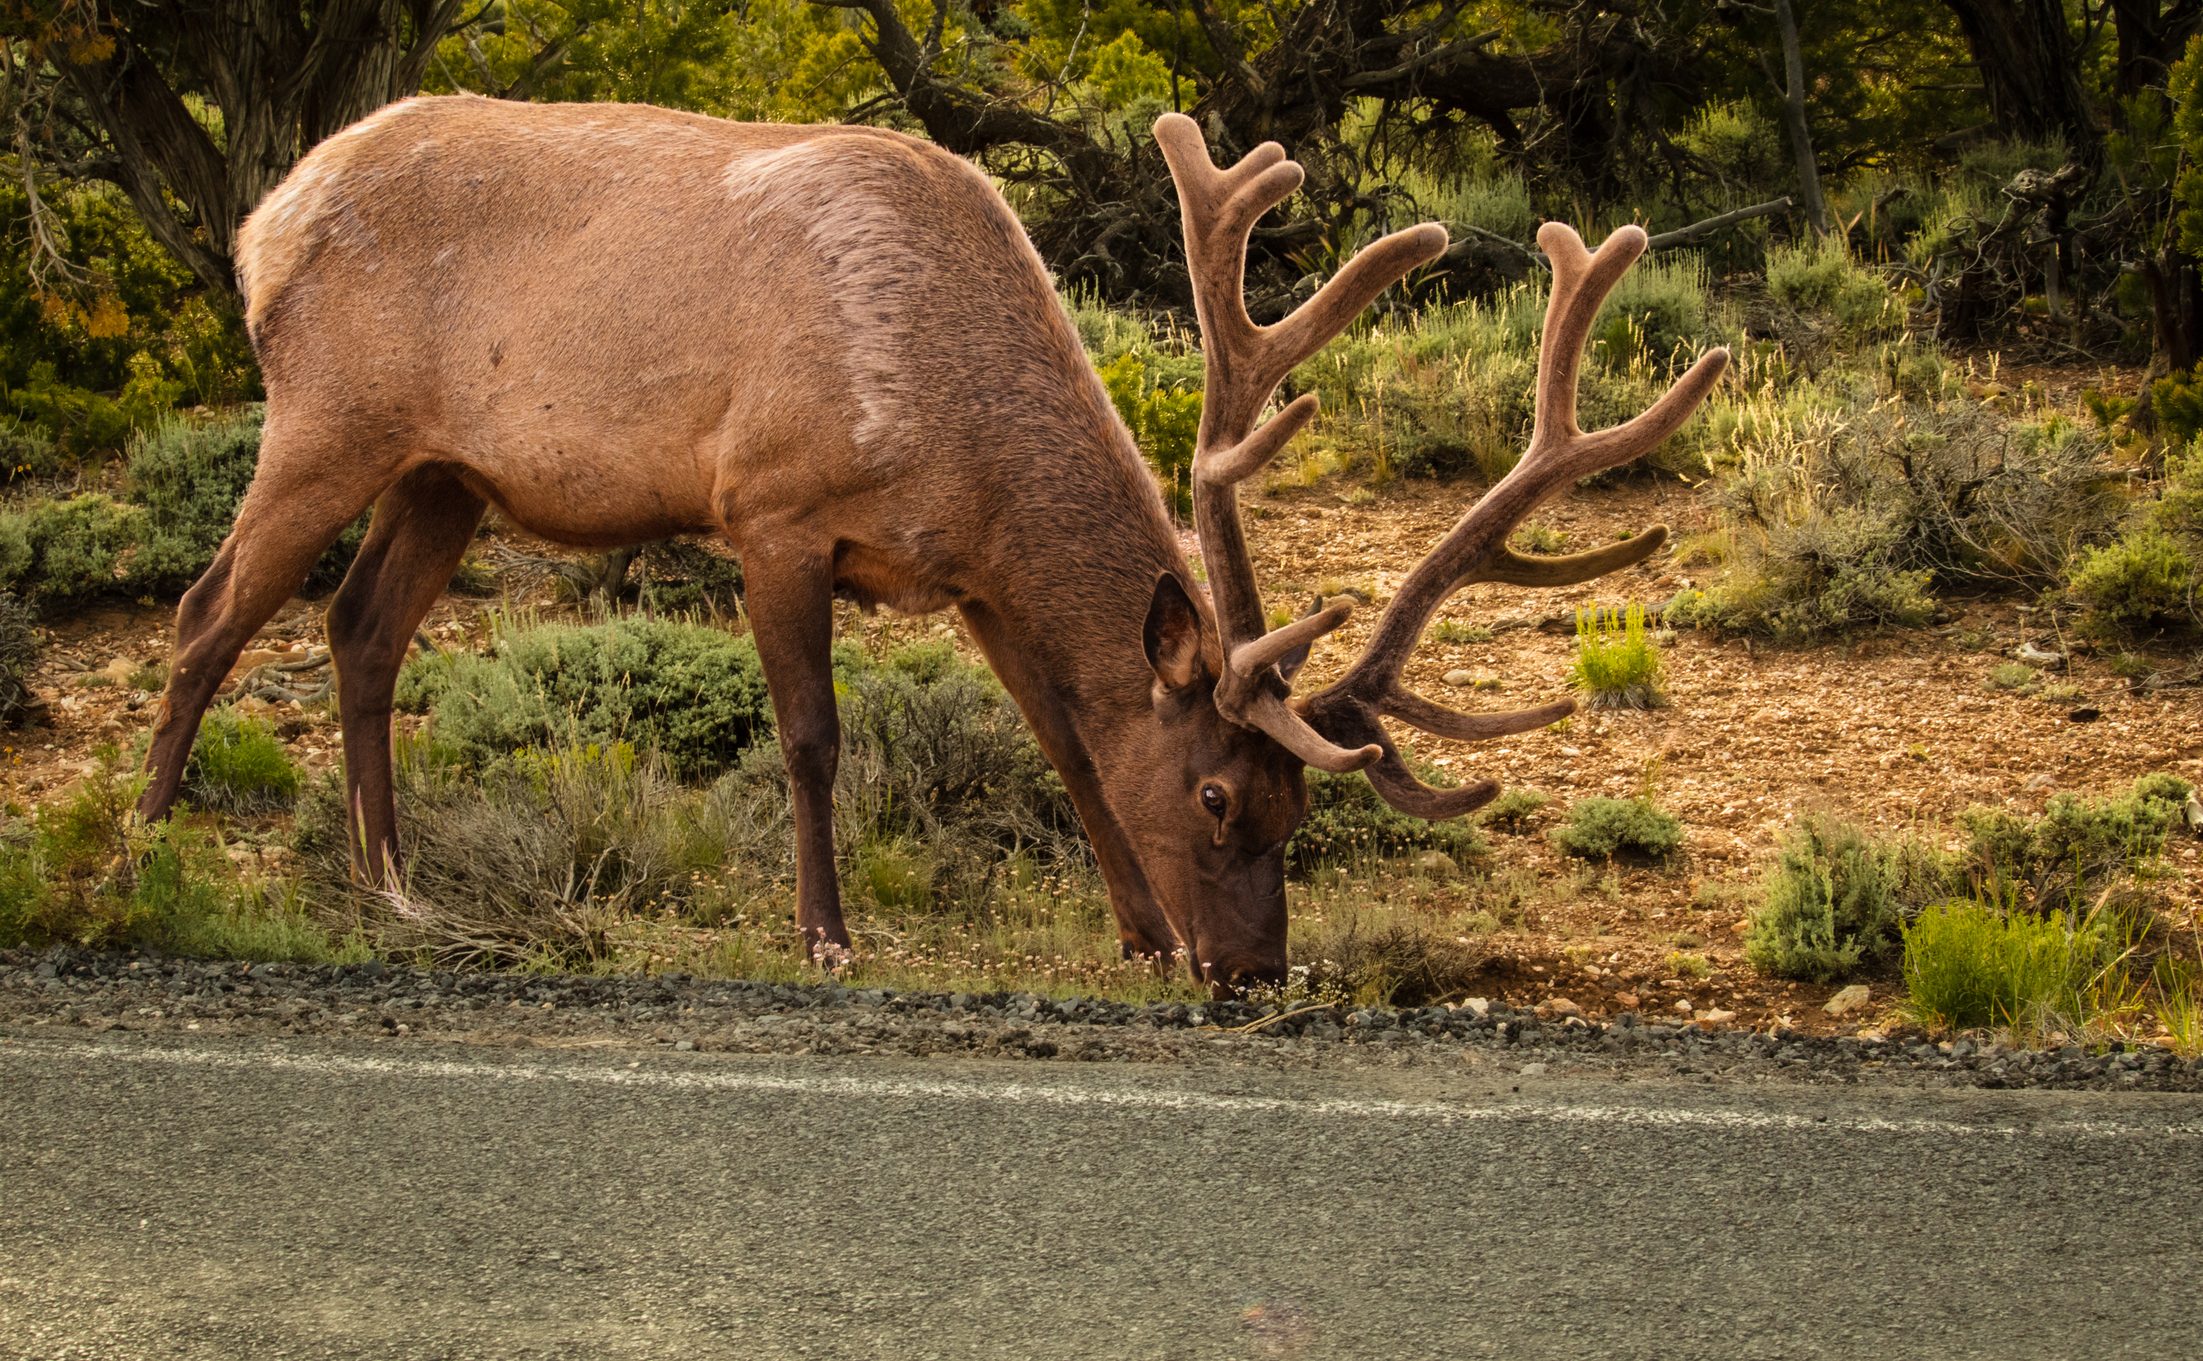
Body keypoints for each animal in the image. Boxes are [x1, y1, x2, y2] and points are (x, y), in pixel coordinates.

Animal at [136, 95, 1725, 995]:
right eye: (1219, 795)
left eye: (1296, 811)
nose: (1253, 974)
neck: (953, 427)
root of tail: (262, 221)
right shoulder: (772, 507)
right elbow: (811, 737)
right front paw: (826, 934)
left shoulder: (973, 578)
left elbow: (1070, 742)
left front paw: (1136, 935)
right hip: (327, 412)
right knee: (208, 612)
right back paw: (141, 850)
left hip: (445, 467)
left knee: (358, 629)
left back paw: (389, 881)